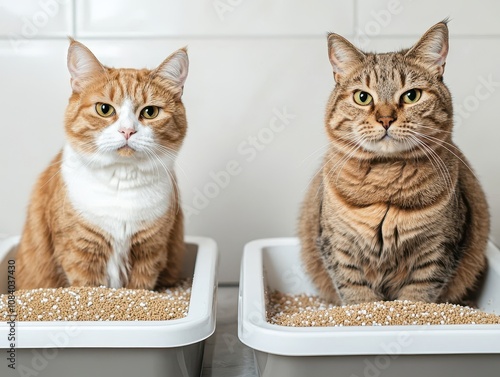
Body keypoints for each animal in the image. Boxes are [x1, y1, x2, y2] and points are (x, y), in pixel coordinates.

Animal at [16, 39, 188, 290]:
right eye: (104, 109)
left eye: (150, 112)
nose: (127, 131)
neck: (121, 182)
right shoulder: (80, 253)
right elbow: (89, 289)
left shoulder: (150, 252)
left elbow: (139, 288)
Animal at [298, 22, 490, 306]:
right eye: (363, 97)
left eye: (411, 96)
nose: (386, 119)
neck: (385, 177)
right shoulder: (339, 247)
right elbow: (356, 294)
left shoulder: (437, 250)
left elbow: (417, 297)